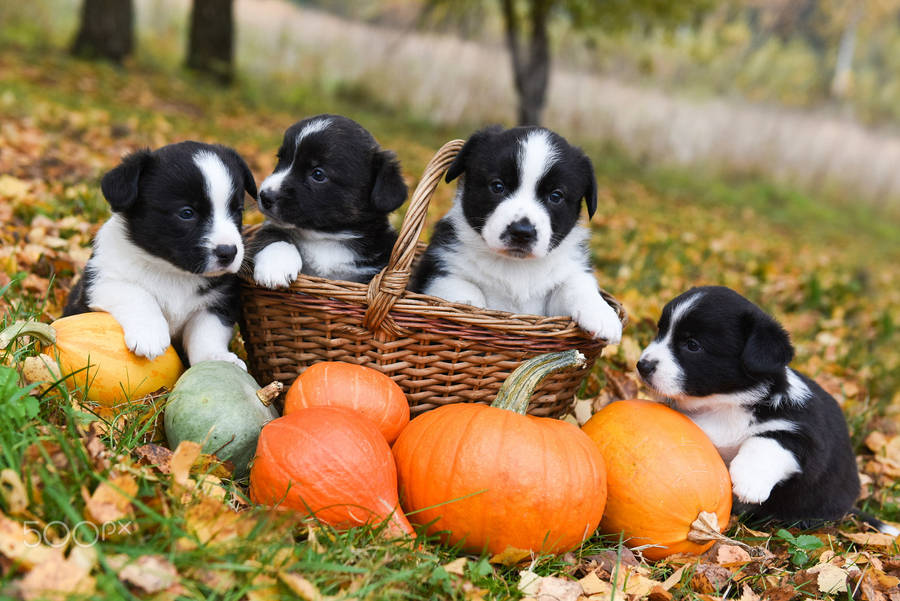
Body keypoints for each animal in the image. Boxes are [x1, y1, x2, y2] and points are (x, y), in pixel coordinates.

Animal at [64, 142, 255, 366]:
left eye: (237, 211)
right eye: (187, 213)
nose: (228, 252)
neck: (172, 272)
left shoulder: (217, 302)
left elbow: (207, 333)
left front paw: (216, 359)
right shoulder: (102, 281)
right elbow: (137, 293)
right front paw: (150, 336)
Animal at [251, 115, 410, 288]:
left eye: (318, 174)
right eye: (280, 159)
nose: (264, 196)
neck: (325, 238)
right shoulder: (270, 228)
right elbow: (273, 235)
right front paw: (276, 267)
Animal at [412, 124, 624, 344]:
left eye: (556, 196)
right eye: (498, 186)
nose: (522, 232)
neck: (515, 266)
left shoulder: (554, 297)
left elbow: (576, 283)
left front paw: (602, 315)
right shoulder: (437, 271)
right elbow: (464, 291)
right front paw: (469, 312)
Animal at [636, 284, 884, 528]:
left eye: (692, 345)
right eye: (660, 332)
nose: (642, 365)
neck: (723, 405)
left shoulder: (805, 436)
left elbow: (766, 442)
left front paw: (749, 481)